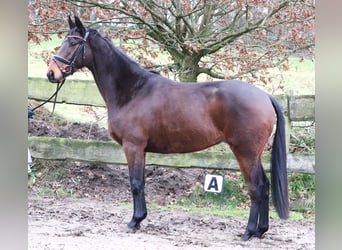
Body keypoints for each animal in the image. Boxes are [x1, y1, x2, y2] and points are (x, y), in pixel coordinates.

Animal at [46, 16, 288, 240]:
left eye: (74, 42)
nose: (51, 73)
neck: (133, 90)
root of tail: (264, 96)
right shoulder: (141, 150)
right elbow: (141, 182)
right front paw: (140, 218)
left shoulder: (132, 146)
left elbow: (135, 183)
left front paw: (134, 221)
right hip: (254, 154)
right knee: (265, 185)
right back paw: (260, 231)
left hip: (245, 153)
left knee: (256, 187)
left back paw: (248, 232)